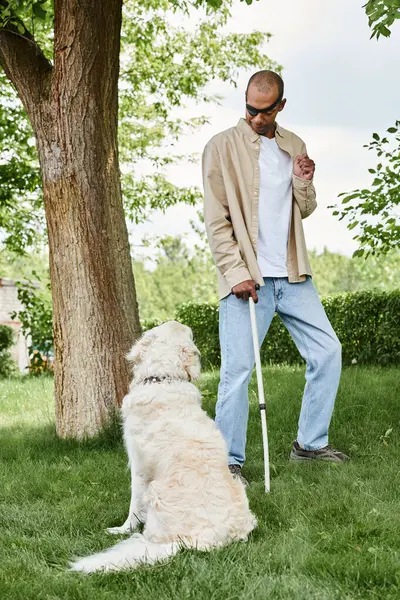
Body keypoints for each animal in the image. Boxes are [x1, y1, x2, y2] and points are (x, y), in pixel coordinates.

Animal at [69, 322, 256, 576]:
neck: (162, 378)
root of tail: (187, 541)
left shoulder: (138, 467)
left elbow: (134, 506)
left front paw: (122, 528)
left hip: (155, 492)